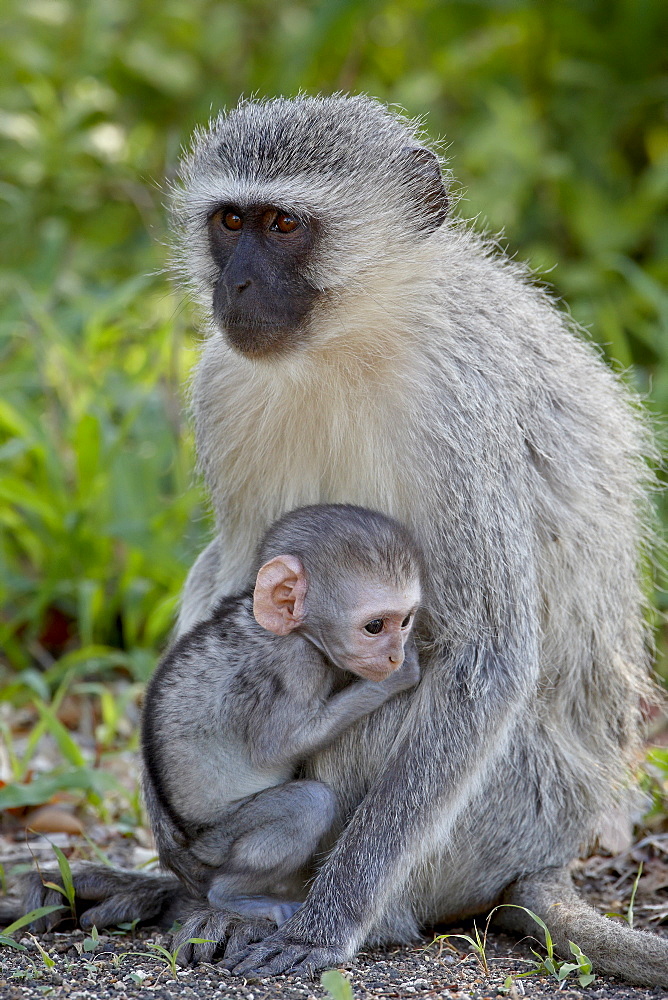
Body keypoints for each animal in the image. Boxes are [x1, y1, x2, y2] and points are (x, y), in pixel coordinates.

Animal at [141, 504, 422, 916]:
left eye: (404, 622)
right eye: (374, 626)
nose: (395, 656)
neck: (291, 630)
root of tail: (193, 844)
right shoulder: (295, 663)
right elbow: (276, 748)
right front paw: (395, 679)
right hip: (220, 840)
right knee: (309, 803)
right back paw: (231, 894)